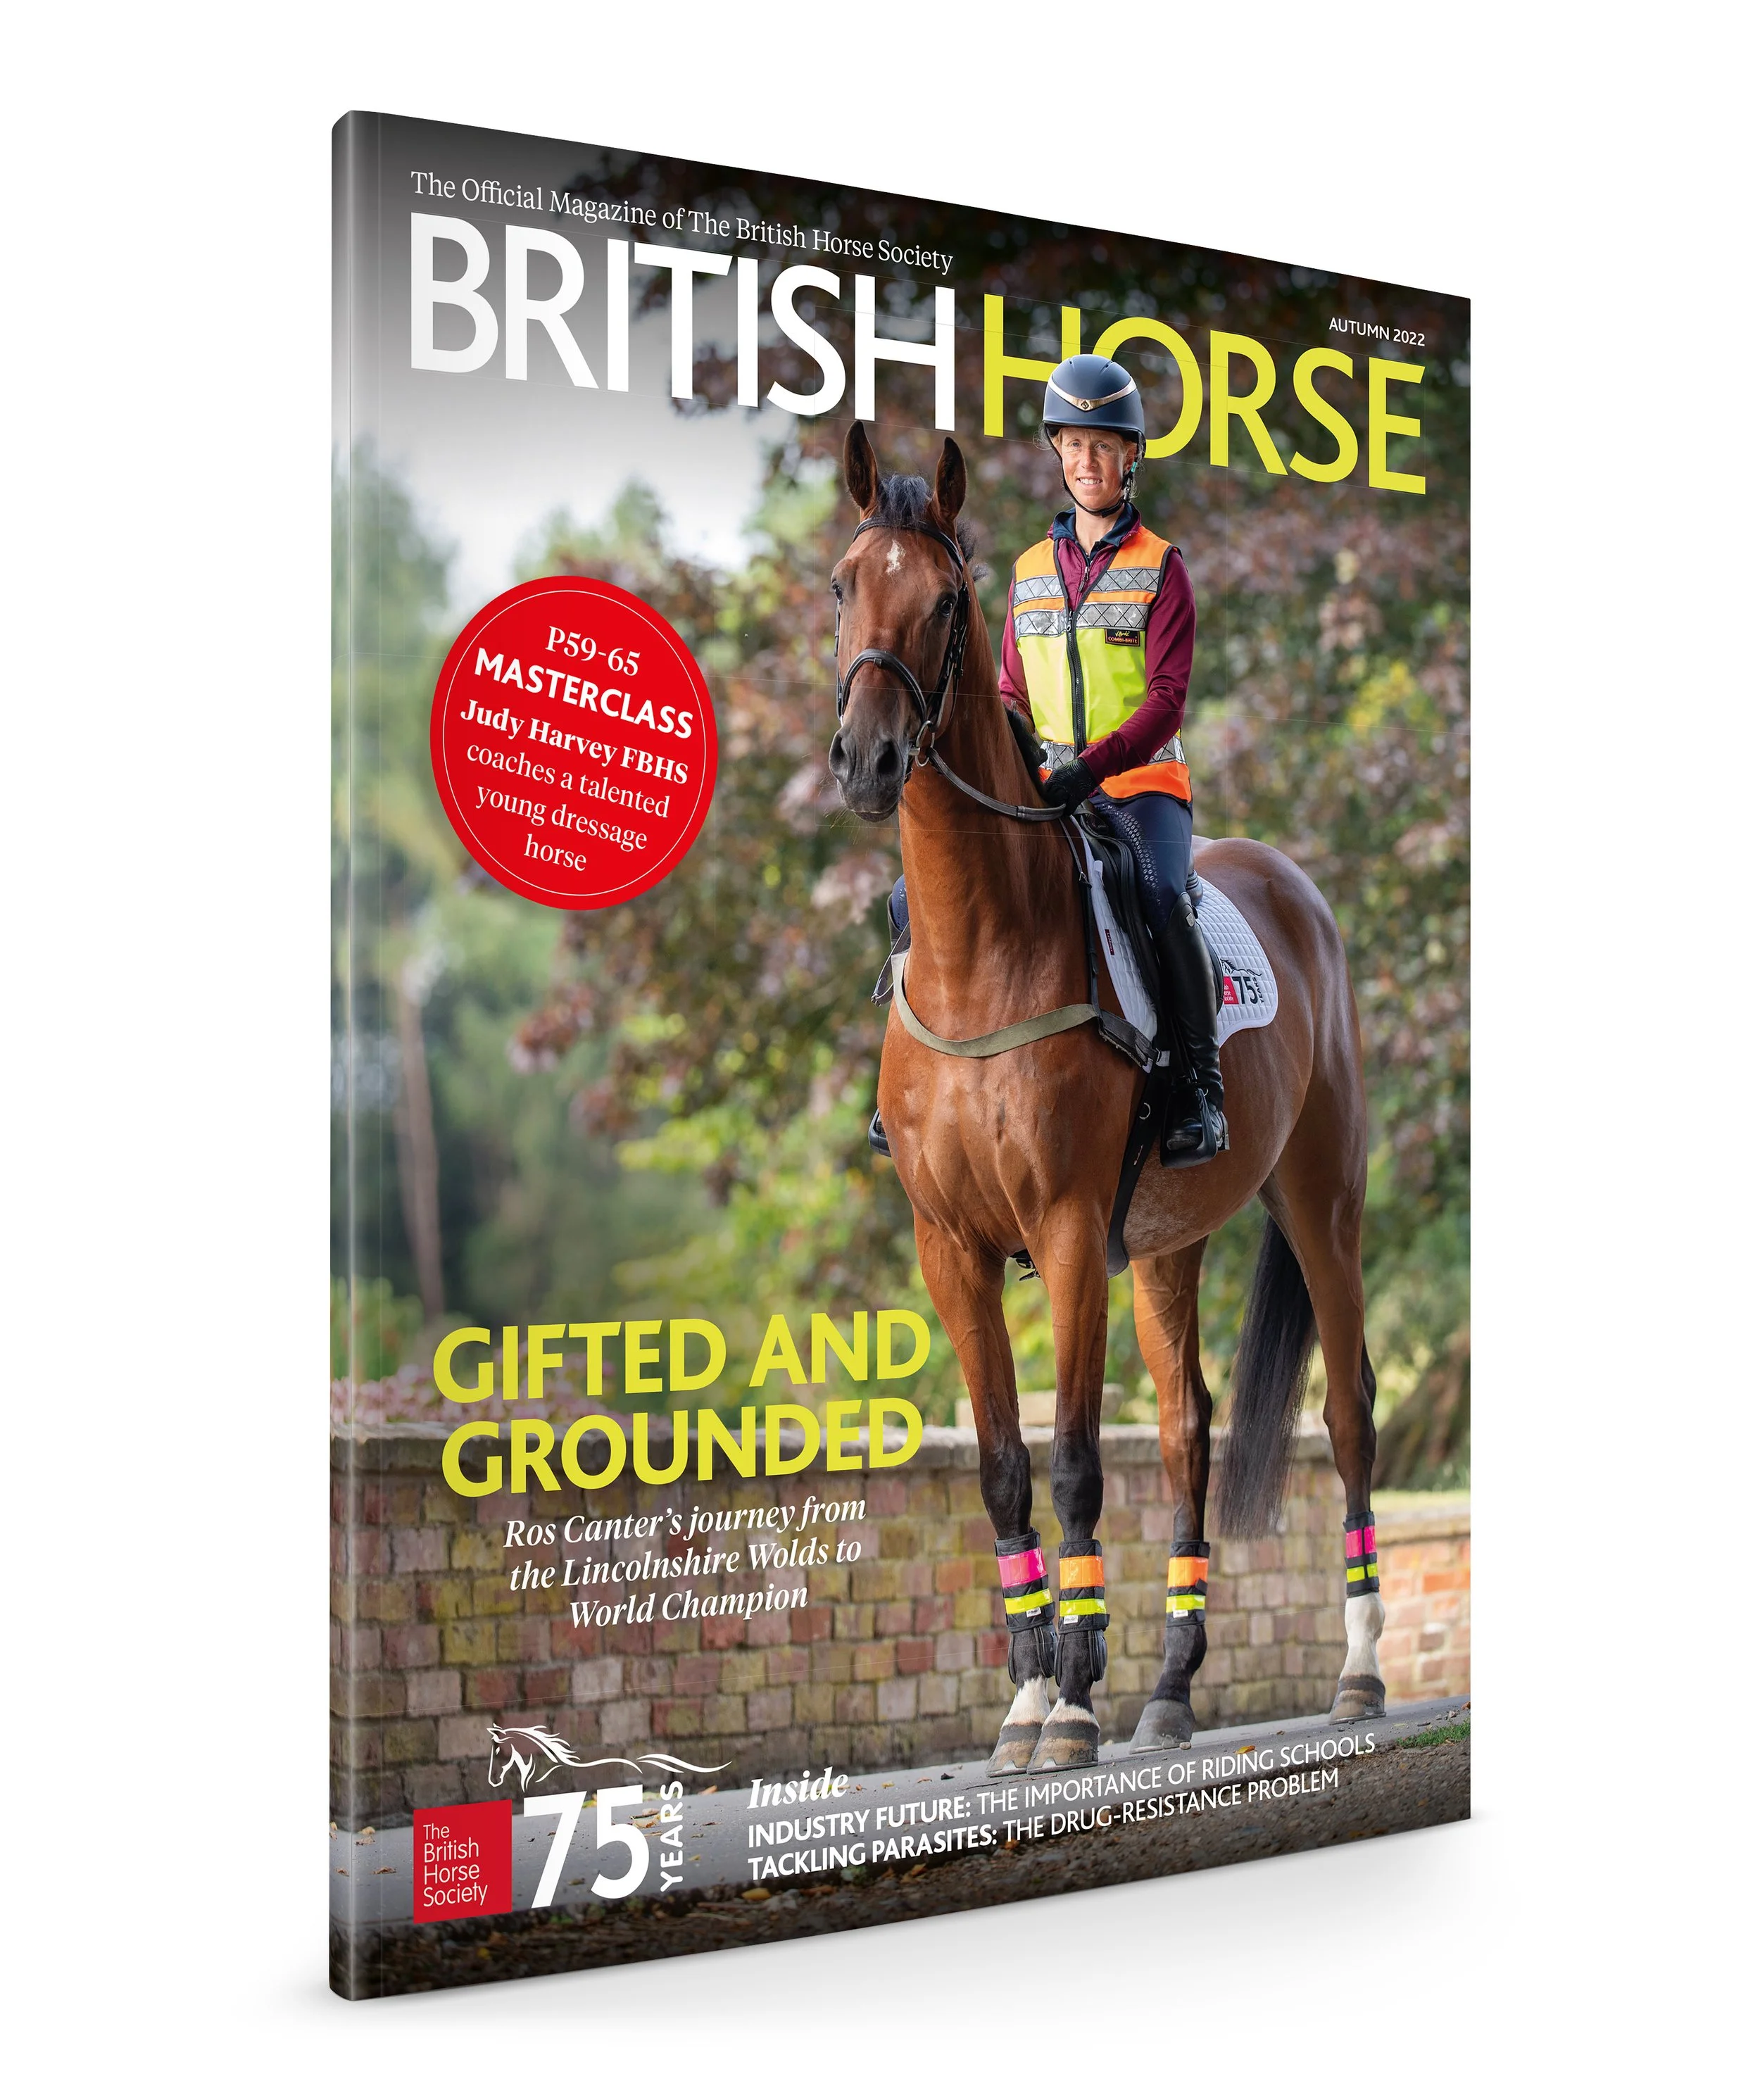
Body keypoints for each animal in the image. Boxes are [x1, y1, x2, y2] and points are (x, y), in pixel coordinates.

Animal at [827, 422, 1384, 1776]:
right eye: (840, 586)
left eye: (945, 601)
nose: (868, 759)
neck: (983, 950)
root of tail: (1297, 888)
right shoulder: (953, 1247)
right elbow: (1005, 1466)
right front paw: (1029, 1694)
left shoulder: (1072, 1229)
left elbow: (1078, 1460)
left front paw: (1072, 1698)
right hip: (1169, 1245)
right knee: (1185, 1426)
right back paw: (1174, 1687)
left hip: (1321, 1203)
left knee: (1349, 1410)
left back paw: (1356, 1675)